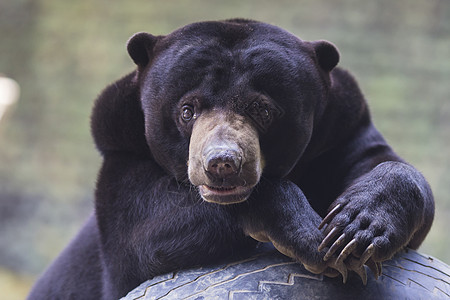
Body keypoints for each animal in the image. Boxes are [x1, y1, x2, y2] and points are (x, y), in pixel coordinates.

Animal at [26, 19, 434, 300]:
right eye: (187, 110)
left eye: (262, 110)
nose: (222, 163)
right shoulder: (121, 146)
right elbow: (138, 235)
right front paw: (312, 238)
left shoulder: (340, 130)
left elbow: (387, 167)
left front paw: (353, 233)